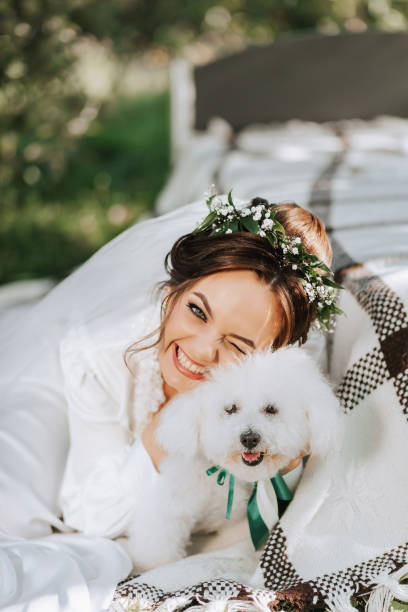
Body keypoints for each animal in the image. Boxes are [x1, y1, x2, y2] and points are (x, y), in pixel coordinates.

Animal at [125, 346, 342, 572]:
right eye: (230, 408)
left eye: (271, 409)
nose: (249, 438)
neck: (219, 476)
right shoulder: (169, 507)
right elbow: (158, 545)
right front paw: (153, 566)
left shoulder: (234, 523)